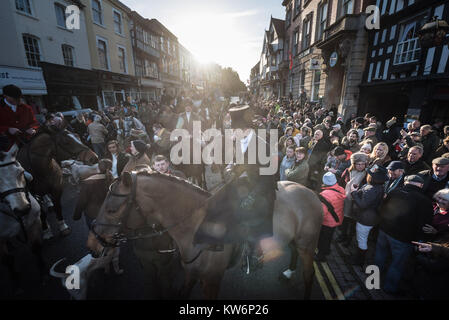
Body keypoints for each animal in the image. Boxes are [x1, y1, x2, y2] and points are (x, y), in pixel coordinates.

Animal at [86, 170, 320, 300]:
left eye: (112, 209)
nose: (92, 244)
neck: (196, 226)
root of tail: (310, 192)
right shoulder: (191, 274)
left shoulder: (212, 280)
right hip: (296, 241)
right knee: (293, 251)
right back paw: (289, 271)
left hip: (308, 245)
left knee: (309, 275)